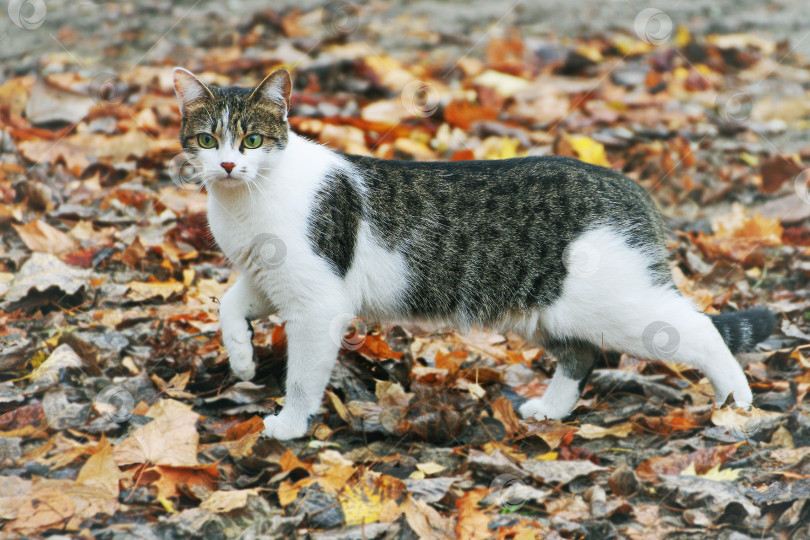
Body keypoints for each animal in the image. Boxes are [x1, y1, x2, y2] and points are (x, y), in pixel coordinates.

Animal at [172, 67, 776, 438]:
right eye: (207, 139)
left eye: (251, 140)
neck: (244, 204)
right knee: (582, 356)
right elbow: (228, 304)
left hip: (618, 307)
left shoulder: (318, 303)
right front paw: (242, 358)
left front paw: (290, 425)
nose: (228, 165)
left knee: (698, 328)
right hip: (547, 311)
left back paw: (737, 401)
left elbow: (301, 378)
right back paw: (549, 410)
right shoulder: (268, 280)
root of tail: (627, 184)